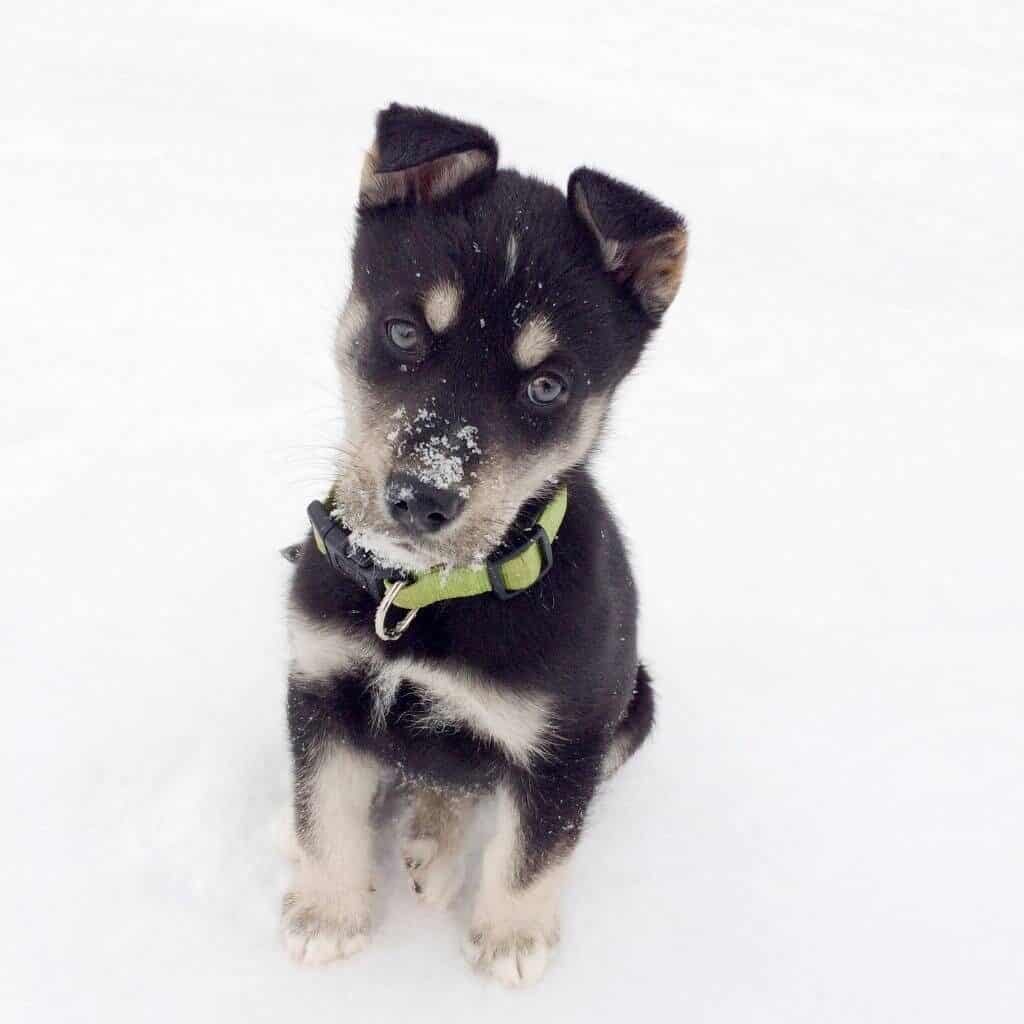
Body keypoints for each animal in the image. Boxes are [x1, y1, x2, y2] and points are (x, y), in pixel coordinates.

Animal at [282, 101, 688, 983]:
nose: (420, 498)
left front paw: (512, 940)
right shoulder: (321, 682)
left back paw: (436, 846)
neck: (424, 597)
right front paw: (326, 913)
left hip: (633, 702)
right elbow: (321, 811)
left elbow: (535, 849)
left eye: (548, 385)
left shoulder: (565, 738)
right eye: (404, 332)